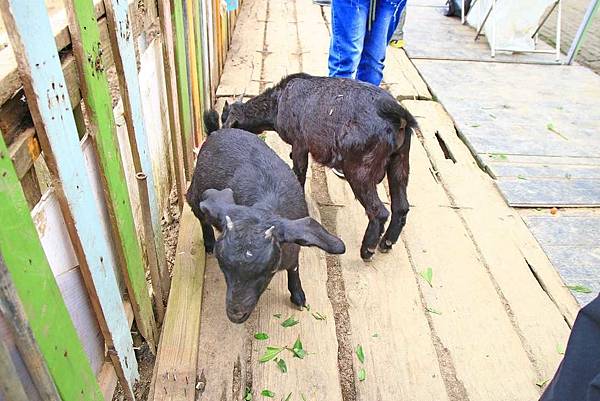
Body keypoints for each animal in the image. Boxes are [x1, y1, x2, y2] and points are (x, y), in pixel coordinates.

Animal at [185, 111, 344, 322]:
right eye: (223, 266)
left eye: (269, 271)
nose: (236, 315)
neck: (265, 204)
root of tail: (217, 131)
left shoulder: (292, 246)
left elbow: (294, 268)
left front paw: (298, 296)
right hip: (195, 194)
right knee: (201, 215)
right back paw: (209, 242)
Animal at [221, 73, 418, 260]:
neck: (279, 100)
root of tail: (398, 114)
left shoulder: (300, 144)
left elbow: (299, 171)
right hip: (400, 161)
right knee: (401, 206)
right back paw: (387, 242)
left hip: (359, 170)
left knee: (379, 212)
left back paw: (367, 250)